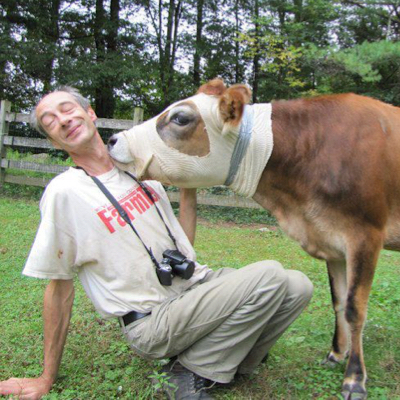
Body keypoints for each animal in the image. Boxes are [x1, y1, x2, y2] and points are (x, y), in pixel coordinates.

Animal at [108, 79, 400, 398]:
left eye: (181, 118)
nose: (113, 139)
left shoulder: (365, 235)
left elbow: (354, 309)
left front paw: (355, 378)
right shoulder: (330, 240)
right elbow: (338, 302)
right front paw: (336, 354)